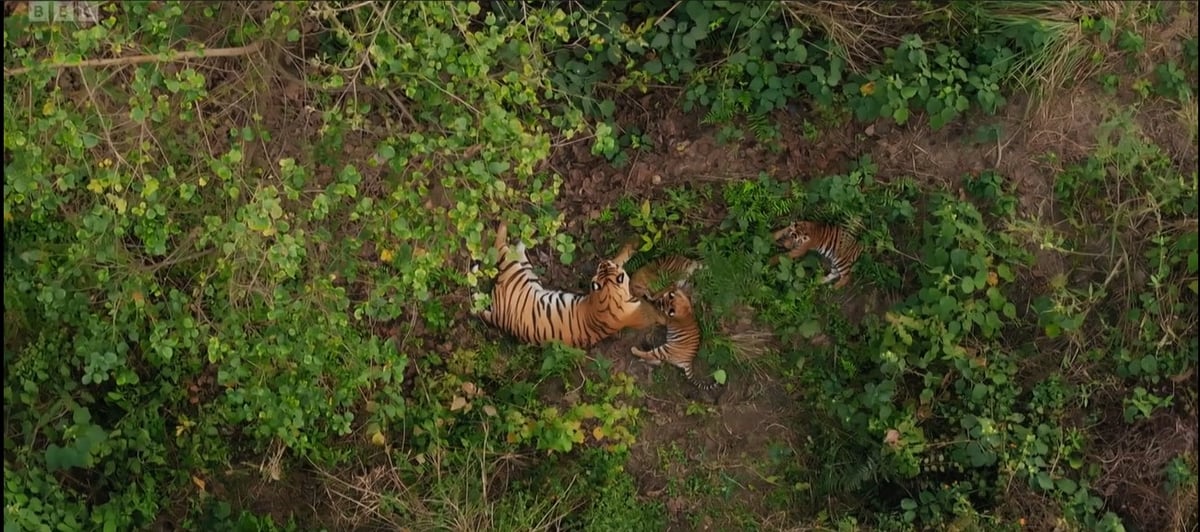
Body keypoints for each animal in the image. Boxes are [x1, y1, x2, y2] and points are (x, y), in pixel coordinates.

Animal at [472, 223, 659, 349]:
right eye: (602, 266)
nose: (602, 262)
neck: (608, 295)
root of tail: (498, 316)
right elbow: (620, 259)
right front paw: (634, 243)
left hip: (524, 269)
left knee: (518, 244)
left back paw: (530, 229)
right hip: (513, 268)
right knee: (500, 246)